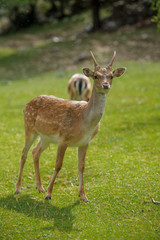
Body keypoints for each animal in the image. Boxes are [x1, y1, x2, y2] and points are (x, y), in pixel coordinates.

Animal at [14, 51, 125, 202]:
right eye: (96, 75)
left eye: (111, 76)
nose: (105, 85)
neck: (85, 122)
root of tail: (27, 104)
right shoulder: (63, 138)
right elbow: (58, 165)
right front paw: (49, 194)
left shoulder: (85, 142)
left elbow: (81, 166)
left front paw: (83, 195)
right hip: (29, 127)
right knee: (23, 153)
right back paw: (18, 189)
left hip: (46, 137)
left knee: (35, 151)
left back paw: (39, 187)